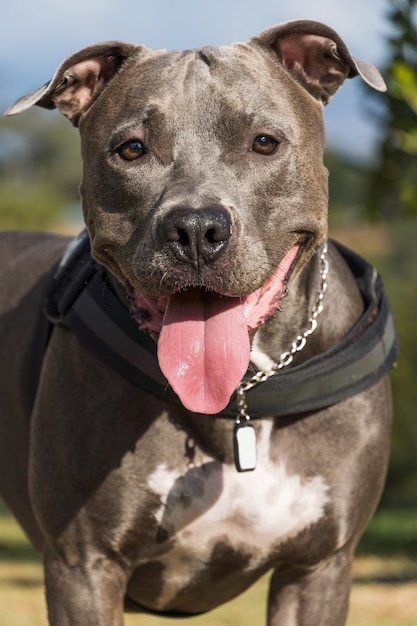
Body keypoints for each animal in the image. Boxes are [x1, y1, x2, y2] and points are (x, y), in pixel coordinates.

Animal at [0, 19, 396, 624]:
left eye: (264, 142)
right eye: (132, 149)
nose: (194, 229)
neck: (240, 400)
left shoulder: (317, 569)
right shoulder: (82, 565)